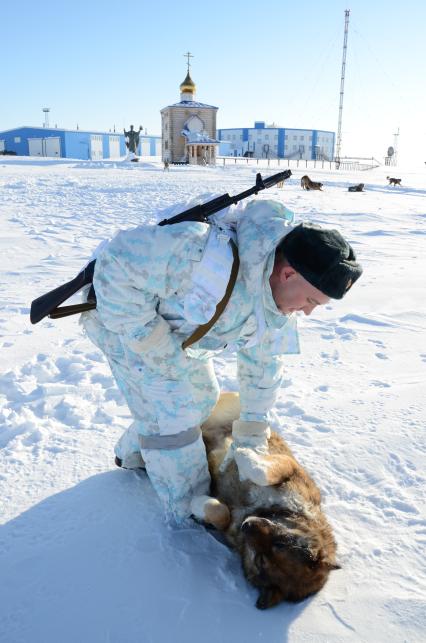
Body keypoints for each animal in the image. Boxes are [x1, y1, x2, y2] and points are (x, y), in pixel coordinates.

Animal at [193, 394, 340, 612]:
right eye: (282, 542)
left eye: (261, 560)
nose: (247, 525)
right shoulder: (289, 467)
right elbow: (262, 471)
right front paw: (243, 452)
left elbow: (222, 513)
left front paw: (197, 504)